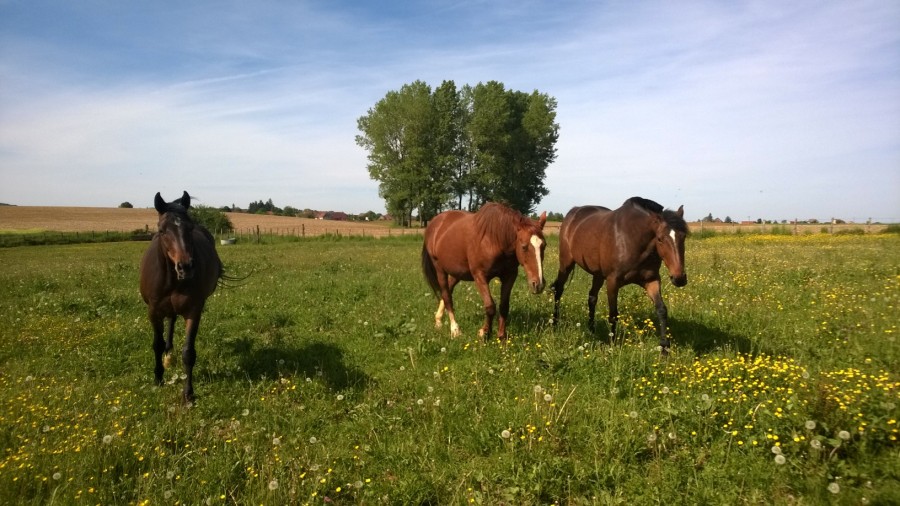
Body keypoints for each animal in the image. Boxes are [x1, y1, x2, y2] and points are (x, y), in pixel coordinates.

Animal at [142, 191, 225, 404]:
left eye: (190, 228)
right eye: (162, 230)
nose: (185, 266)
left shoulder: (193, 311)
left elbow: (188, 352)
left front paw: (188, 394)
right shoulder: (153, 312)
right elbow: (156, 344)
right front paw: (158, 378)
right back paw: (168, 353)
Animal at [424, 202, 548, 340]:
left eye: (544, 245)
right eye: (524, 247)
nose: (538, 284)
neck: (494, 240)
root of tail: (434, 223)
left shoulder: (509, 275)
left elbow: (504, 306)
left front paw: (501, 336)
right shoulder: (480, 276)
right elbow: (490, 306)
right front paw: (485, 333)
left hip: (457, 272)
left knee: (447, 291)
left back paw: (438, 320)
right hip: (440, 270)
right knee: (446, 295)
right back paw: (455, 329)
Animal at [548, 198, 688, 352]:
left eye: (684, 236)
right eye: (660, 239)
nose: (679, 278)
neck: (632, 241)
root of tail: (572, 214)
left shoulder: (651, 280)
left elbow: (661, 310)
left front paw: (664, 347)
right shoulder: (612, 282)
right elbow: (613, 314)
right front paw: (612, 344)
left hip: (598, 274)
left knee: (592, 297)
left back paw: (591, 329)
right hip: (566, 263)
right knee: (559, 290)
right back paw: (554, 323)